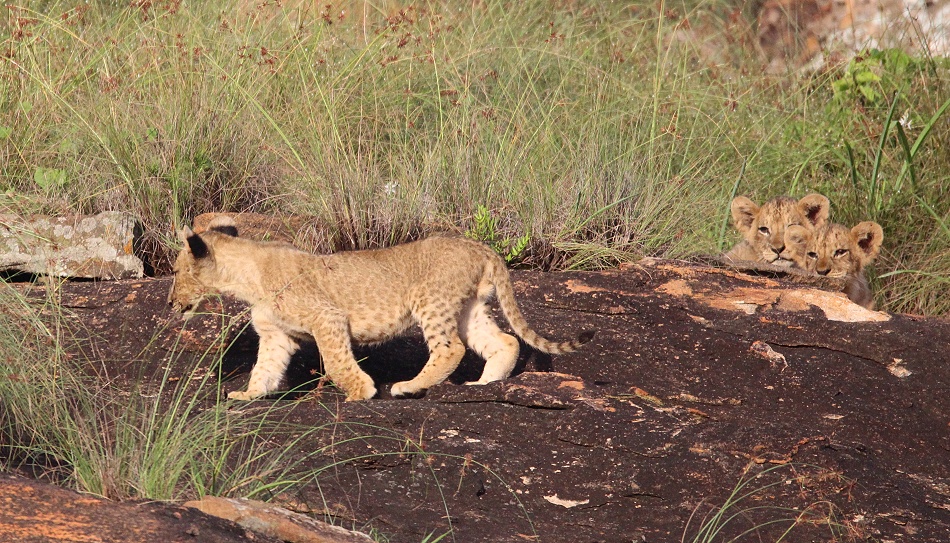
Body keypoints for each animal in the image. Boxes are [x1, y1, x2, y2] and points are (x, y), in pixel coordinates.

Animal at [168, 218, 594, 401]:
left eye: (174, 271)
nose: (171, 303)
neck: (246, 277)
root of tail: (481, 246)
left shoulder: (327, 318)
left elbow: (337, 361)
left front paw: (361, 392)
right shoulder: (277, 335)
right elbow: (265, 367)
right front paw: (247, 396)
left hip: (430, 299)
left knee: (450, 349)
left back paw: (408, 386)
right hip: (467, 308)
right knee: (505, 341)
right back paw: (485, 385)